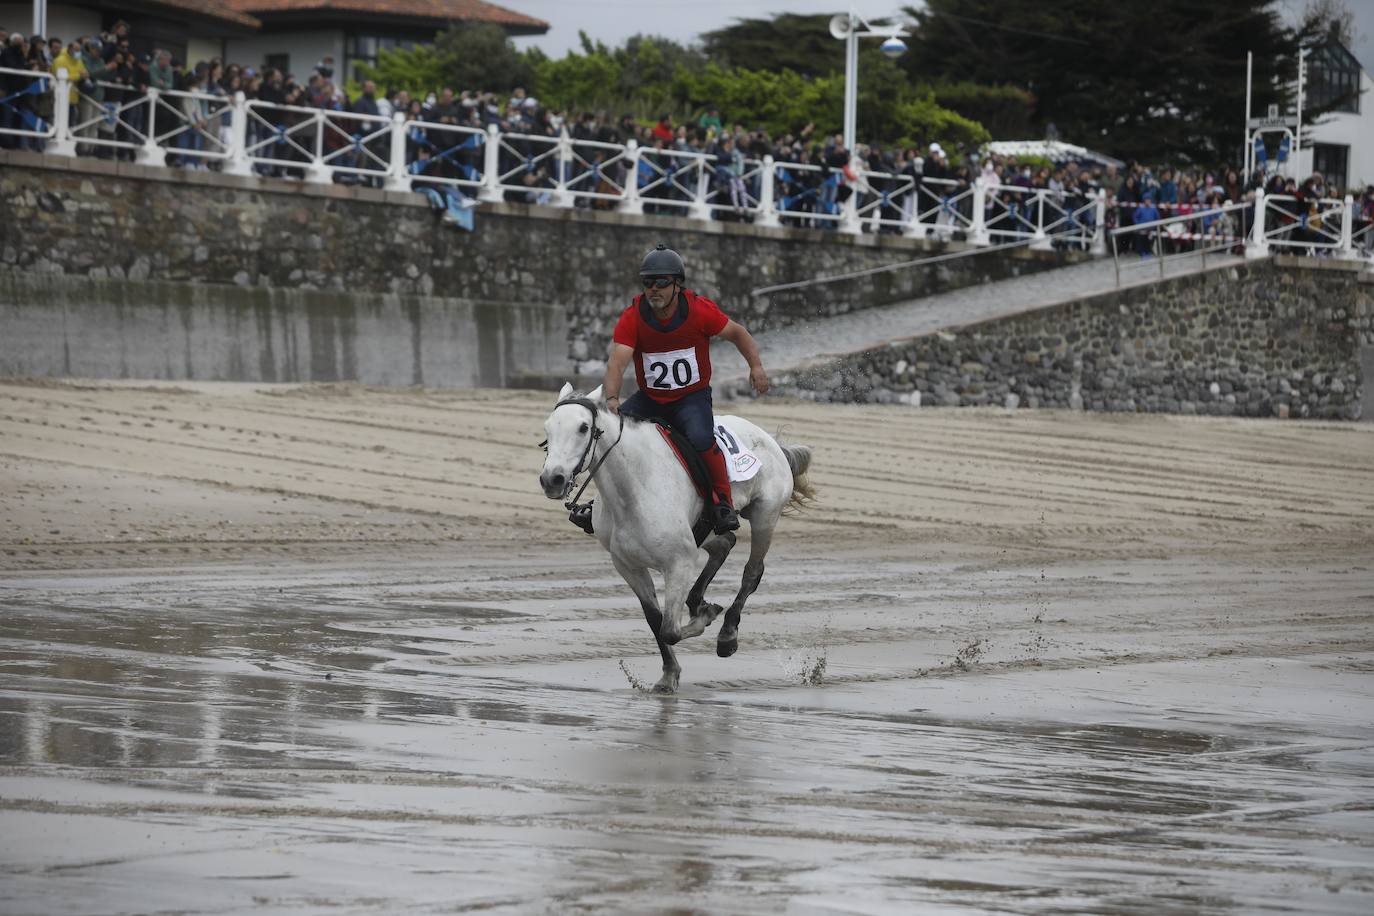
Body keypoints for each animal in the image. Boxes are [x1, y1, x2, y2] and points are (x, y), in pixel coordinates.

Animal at [538, 384, 813, 692]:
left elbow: (669, 629)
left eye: (584, 428)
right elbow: (655, 621)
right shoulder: (628, 566)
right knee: (725, 544)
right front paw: (670, 673)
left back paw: (727, 634)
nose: (552, 479)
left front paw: (706, 617)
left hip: (765, 516)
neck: (634, 488)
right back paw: (698, 602)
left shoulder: (679, 563)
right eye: (548, 428)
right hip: (702, 531)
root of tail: (770, 441)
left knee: (752, 572)